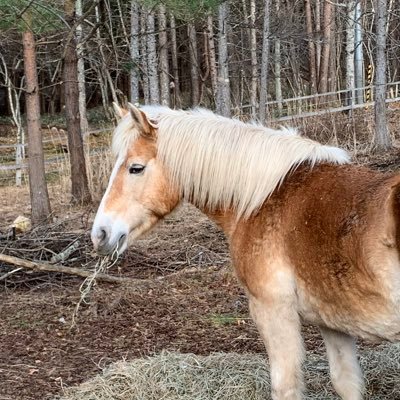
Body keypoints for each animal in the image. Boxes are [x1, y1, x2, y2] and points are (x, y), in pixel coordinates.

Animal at [90, 104, 400, 400]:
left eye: (135, 168)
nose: (100, 233)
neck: (268, 198)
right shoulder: (333, 322)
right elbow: (346, 383)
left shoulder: (273, 312)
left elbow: (285, 387)